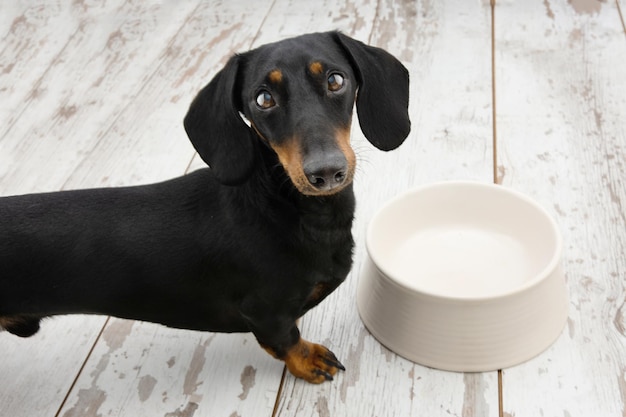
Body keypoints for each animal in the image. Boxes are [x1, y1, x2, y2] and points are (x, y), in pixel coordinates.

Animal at [1, 31, 410, 384]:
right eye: (263, 99)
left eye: (336, 79)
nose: (325, 172)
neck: (287, 209)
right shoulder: (265, 312)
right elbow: (287, 340)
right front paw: (309, 361)